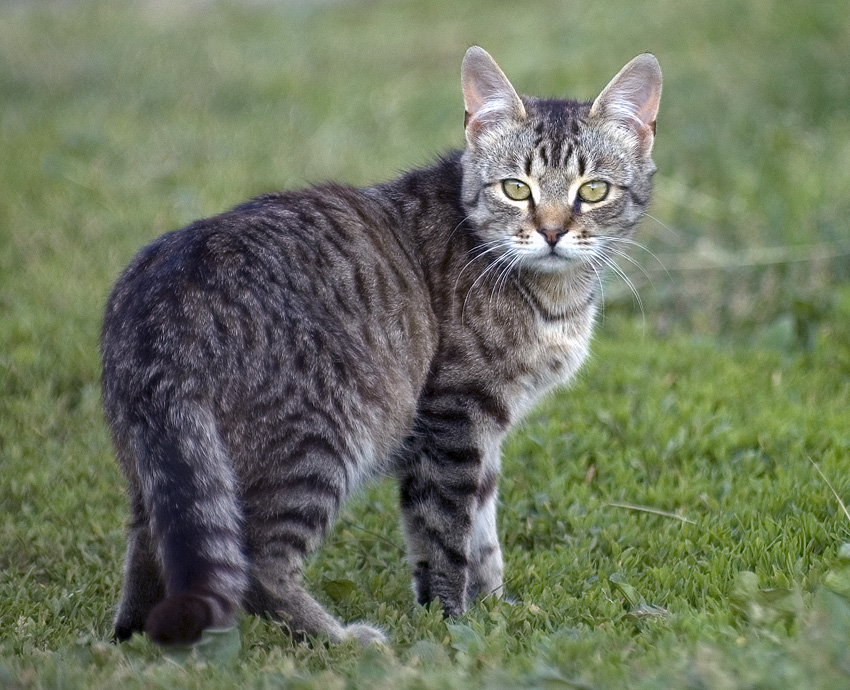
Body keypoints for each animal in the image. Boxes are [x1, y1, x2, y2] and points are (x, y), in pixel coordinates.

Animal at [102, 45, 664, 644]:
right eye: (517, 188)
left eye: (593, 190)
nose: (553, 232)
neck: (554, 293)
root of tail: (160, 305)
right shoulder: (453, 419)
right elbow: (445, 534)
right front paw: (453, 621)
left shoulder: (485, 429)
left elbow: (484, 532)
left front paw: (496, 608)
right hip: (321, 440)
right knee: (258, 564)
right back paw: (340, 638)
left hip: (166, 470)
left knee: (159, 547)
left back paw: (136, 635)